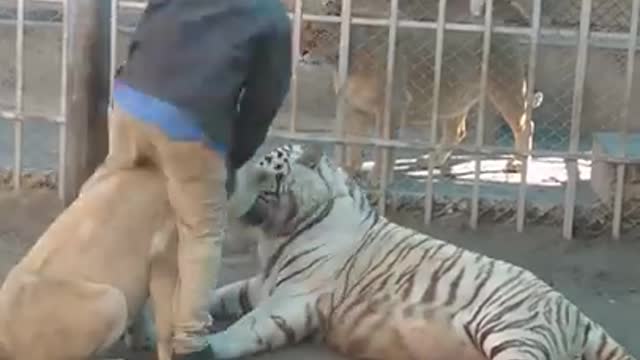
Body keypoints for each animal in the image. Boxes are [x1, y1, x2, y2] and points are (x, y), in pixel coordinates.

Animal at [210, 143, 636, 360]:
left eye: (266, 173)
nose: (227, 188)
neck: (280, 231)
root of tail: (575, 312)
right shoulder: (261, 282)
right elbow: (222, 294)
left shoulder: (295, 295)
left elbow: (248, 327)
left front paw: (208, 347)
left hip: (515, 332)